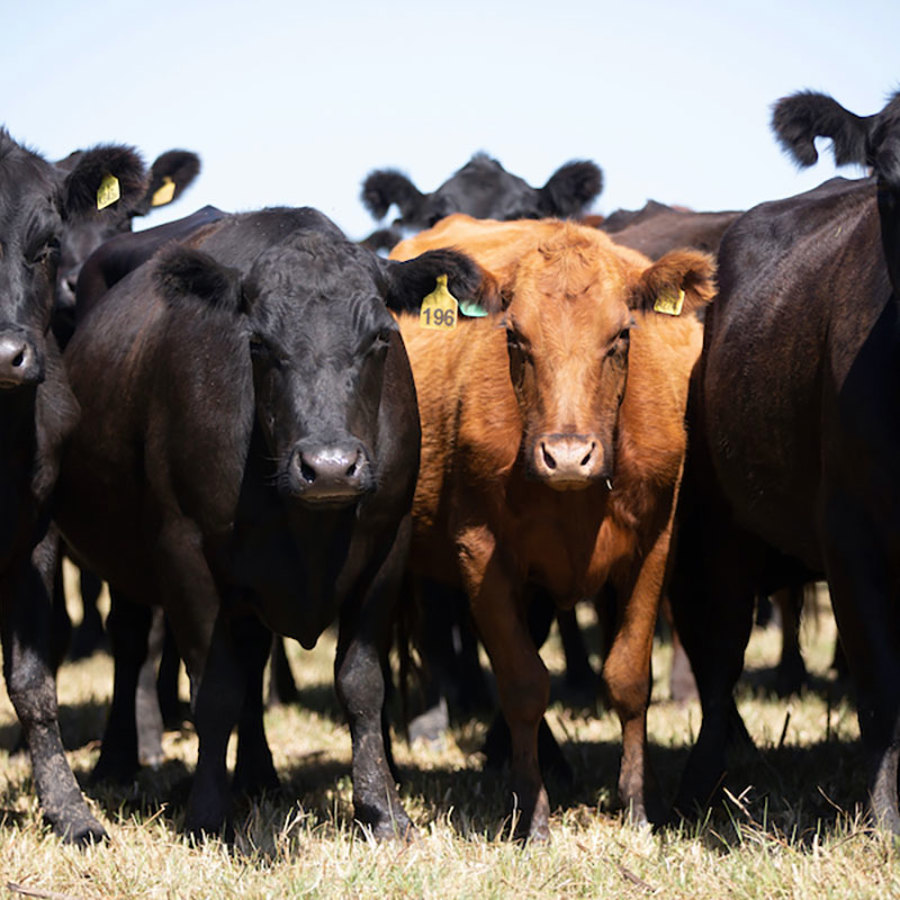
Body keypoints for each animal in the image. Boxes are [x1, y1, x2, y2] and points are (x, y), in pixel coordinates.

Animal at [53, 205, 496, 838]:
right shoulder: (184, 553)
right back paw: (118, 762)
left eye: (381, 336)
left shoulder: (388, 547)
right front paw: (207, 814)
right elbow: (214, 690)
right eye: (258, 343)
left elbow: (360, 683)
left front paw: (382, 809)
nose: (330, 466)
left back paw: (258, 774)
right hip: (125, 559)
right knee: (133, 643)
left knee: (253, 659)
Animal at [391, 214, 715, 840]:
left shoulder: (654, 545)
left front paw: (636, 804)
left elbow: (628, 677)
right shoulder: (480, 552)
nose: (567, 456)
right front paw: (532, 814)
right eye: (515, 337)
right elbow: (522, 682)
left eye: (621, 335)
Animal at [668, 88, 900, 833]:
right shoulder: (852, 534)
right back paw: (697, 791)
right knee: (716, 665)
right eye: (890, 176)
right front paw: (887, 817)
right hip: (710, 533)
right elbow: (883, 686)